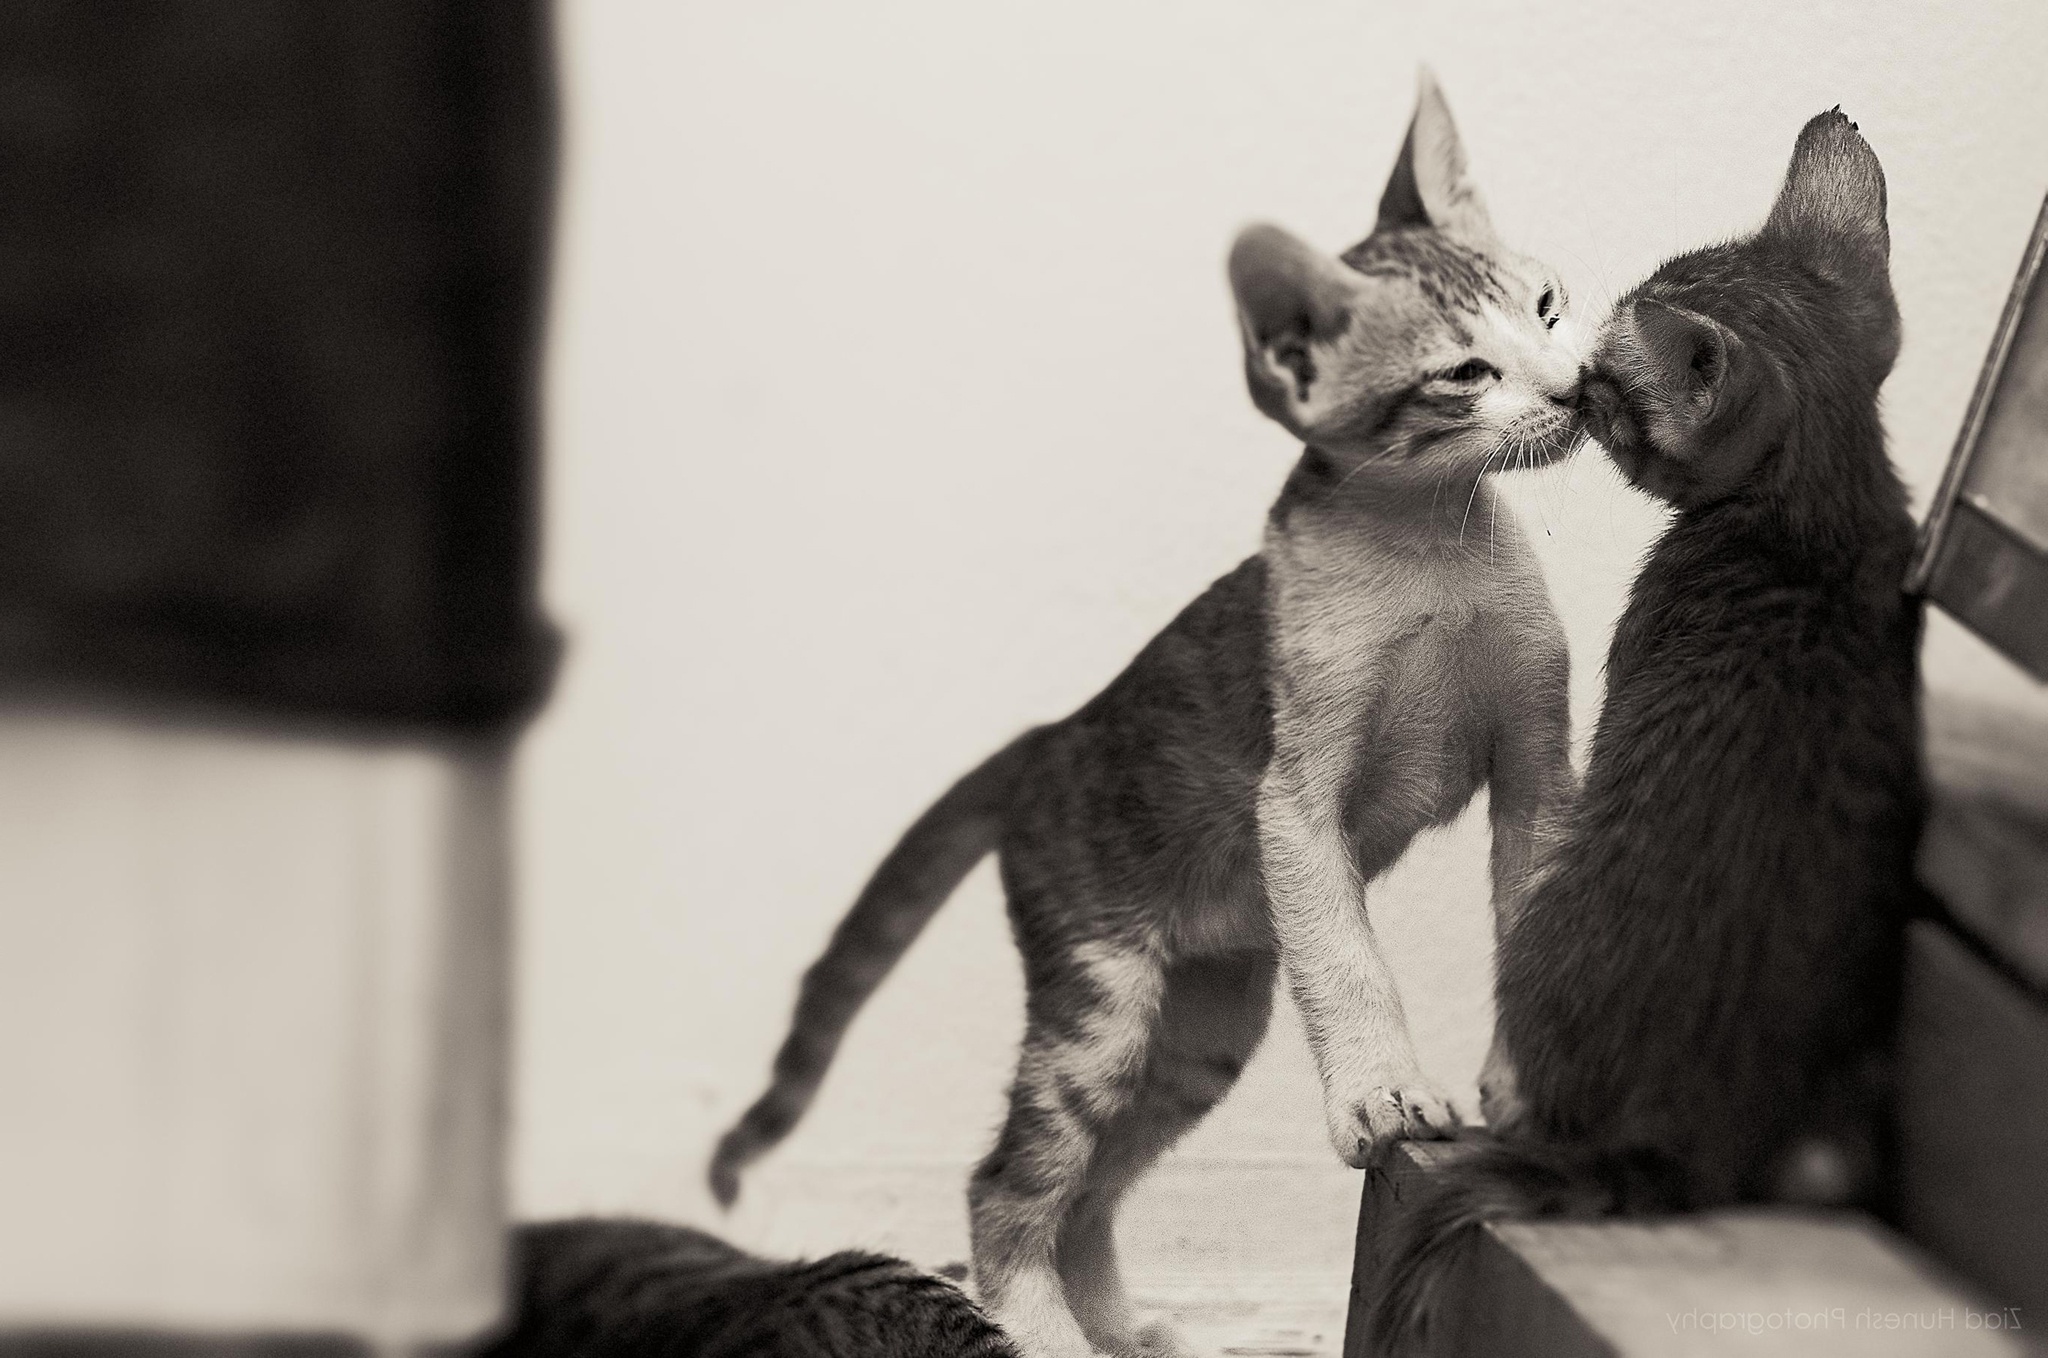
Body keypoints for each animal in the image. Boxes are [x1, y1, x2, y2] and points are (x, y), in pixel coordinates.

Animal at [708, 74, 1581, 1358]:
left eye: (1547, 306)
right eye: (1462, 372)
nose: (1579, 387)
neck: (1434, 552)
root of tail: (1048, 732)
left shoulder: (1535, 763)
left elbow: (1533, 912)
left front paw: (1522, 1085)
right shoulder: (1293, 799)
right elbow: (1347, 960)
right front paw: (1382, 1091)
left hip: (1200, 1028)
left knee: (1093, 1185)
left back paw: (1122, 1326)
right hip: (1099, 1000)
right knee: (1008, 1183)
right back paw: (1042, 1330)